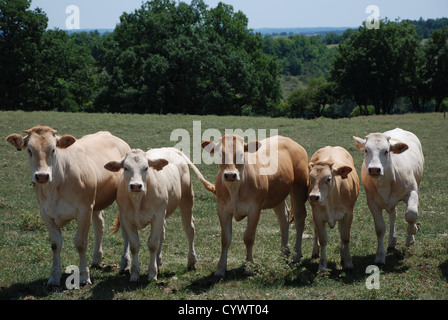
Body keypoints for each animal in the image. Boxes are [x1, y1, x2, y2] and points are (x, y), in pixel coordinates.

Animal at [6, 126, 130, 286]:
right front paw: (54, 276)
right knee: (99, 226)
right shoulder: (45, 213)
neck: (56, 184)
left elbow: (81, 243)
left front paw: (83, 276)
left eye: (53, 149)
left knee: (125, 231)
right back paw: (97, 258)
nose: (42, 176)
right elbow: (55, 244)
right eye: (29, 150)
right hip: (96, 203)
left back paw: (125, 264)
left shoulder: (84, 210)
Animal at [105, 149, 217, 282]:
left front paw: (152, 273)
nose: (136, 186)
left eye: (146, 168)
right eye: (126, 168)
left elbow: (153, 244)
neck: (138, 200)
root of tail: (172, 149)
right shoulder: (127, 219)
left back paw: (191, 261)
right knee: (162, 235)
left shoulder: (157, 217)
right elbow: (134, 245)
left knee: (189, 230)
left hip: (187, 199)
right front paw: (135, 274)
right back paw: (158, 262)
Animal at [354, 127, 424, 264]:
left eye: (386, 151)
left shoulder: (412, 191)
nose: (374, 169)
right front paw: (380, 255)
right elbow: (380, 228)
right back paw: (392, 240)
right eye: (366, 150)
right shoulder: (372, 202)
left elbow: (411, 215)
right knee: (393, 216)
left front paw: (413, 232)